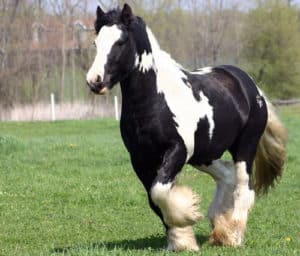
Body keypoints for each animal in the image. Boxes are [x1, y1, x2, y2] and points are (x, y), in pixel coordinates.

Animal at [85, 4, 288, 252]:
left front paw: (187, 218)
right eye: (96, 43)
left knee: (243, 187)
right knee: (226, 175)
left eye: (120, 42)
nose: (95, 81)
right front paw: (181, 239)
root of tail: (250, 85)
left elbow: (160, 191)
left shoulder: (177, 151)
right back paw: (219, 228)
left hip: (244, 147)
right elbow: (154, 200)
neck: (155, 100)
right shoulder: (140, 159)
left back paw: (232, 236)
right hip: (204, 155)